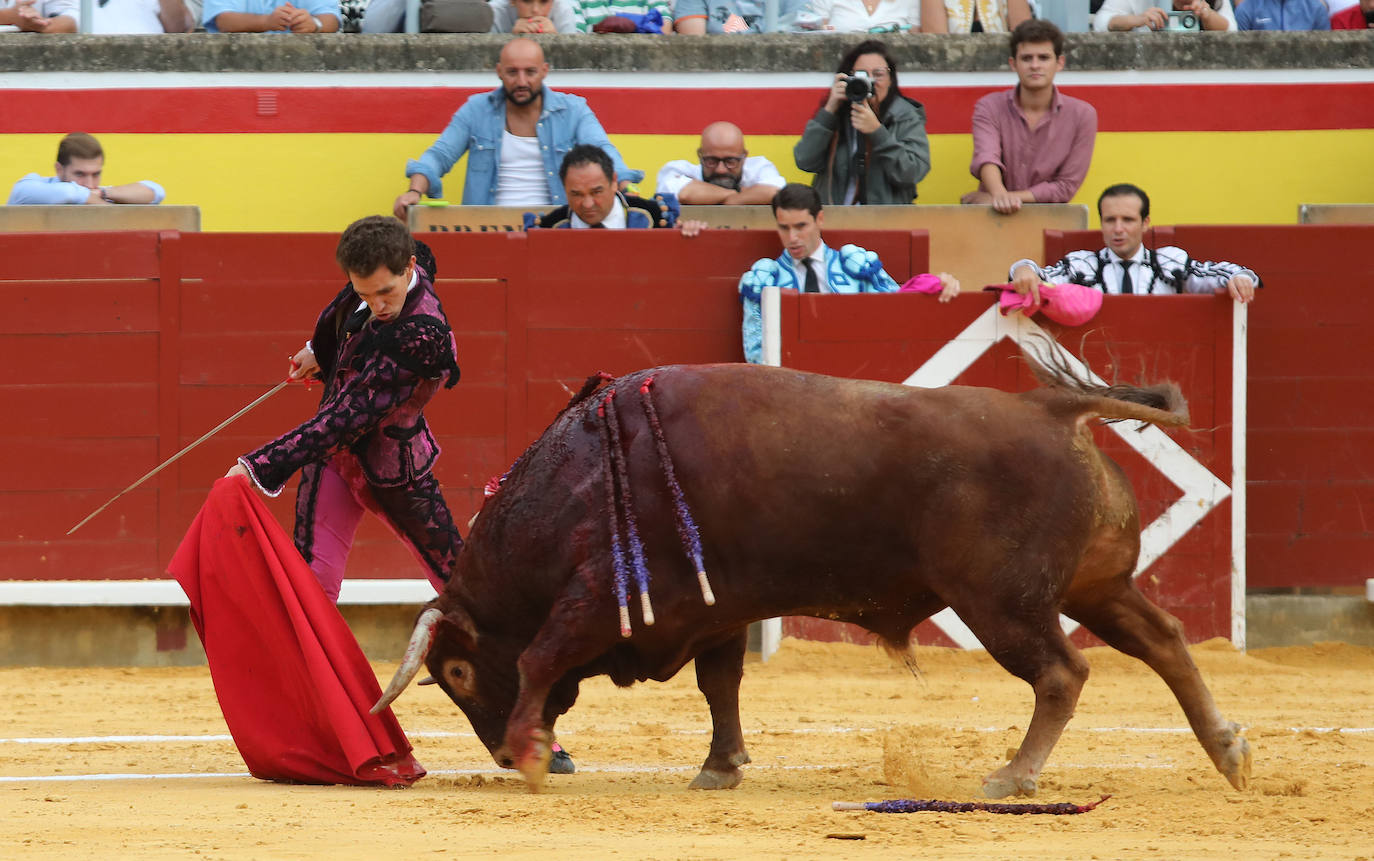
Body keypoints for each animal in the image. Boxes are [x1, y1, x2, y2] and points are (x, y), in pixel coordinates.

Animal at [370, 357, 1253, 796]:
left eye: (456, 671)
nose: (493, 752)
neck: (583, 476)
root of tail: (1052, 408)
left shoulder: (599, 595)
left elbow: (539, 654)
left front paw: (527, 752)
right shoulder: (713, 607)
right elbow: (720, 683)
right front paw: (720, 766)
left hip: (1004, 602)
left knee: (1063, 672)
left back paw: (1014, 773)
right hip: (1095, 588)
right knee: (1164, 640)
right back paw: (1228, 749)